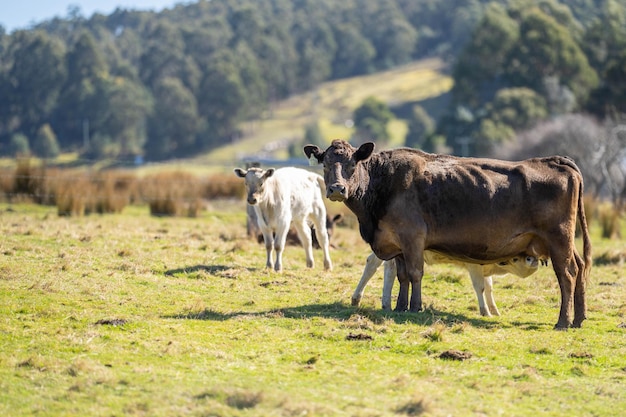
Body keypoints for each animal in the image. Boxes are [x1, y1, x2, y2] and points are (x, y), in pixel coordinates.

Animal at [352, 250, 536, 316]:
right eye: (516, 258)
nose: (532, 260)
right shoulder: (474, 266)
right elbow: (480, 287)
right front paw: (485, 312)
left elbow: (489, 287)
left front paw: (494, 310)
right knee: (382, 267)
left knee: (378, 265)